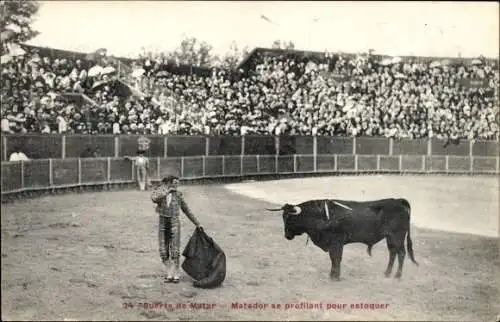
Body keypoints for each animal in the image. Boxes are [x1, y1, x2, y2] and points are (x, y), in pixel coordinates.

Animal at [268, 197, 420, 280]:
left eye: (290, 218)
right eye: (283, 217)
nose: (287, 236)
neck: (320, 216)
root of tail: (398, 201)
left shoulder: (336, 242)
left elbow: (336, 258)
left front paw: (335, 277)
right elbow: (333, 259)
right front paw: (332, 275)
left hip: (397, 237)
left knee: (401, 254)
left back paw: (397, 275)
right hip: (391, 238)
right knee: (393, 253)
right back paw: (387, 273)